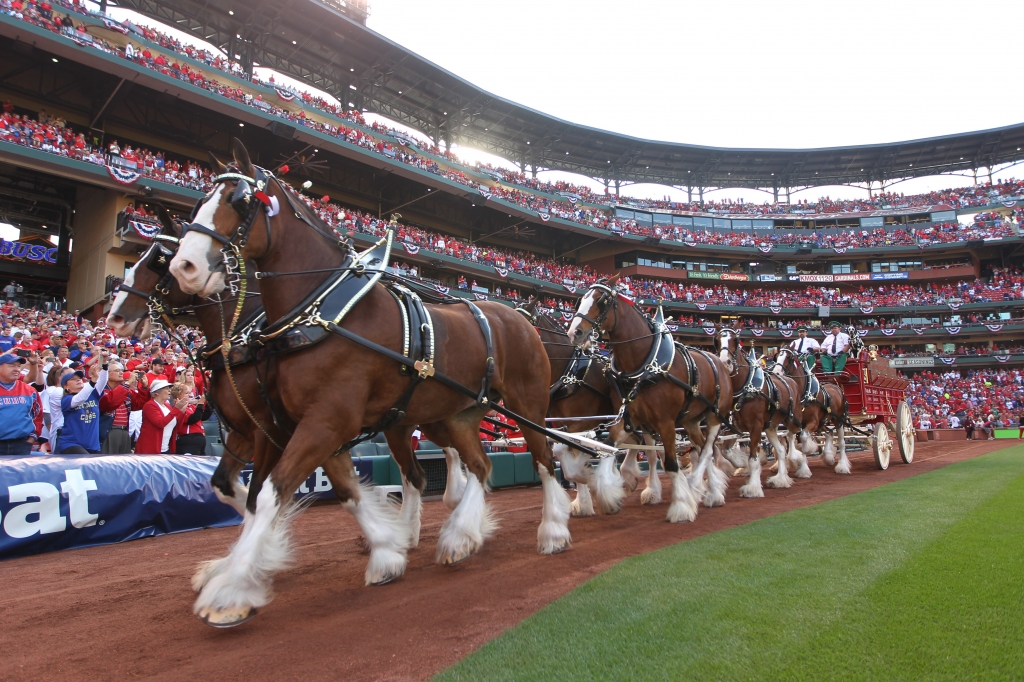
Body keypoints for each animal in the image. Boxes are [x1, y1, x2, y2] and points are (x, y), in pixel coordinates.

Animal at [171, 139, 565, 626]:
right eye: (197, 202)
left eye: (238, 201)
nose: (185, 266)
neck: (323, 313)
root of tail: (521, 316)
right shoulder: (300, 425)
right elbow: (331, 490)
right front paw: (387, 552)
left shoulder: (325, 421)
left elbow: (268, 495)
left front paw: (230, 591)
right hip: (456, 414)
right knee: (479, 465)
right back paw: (460, 536)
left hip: (528, 405)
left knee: (544, 460)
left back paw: (552, 531)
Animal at [569, 276, 729, 520]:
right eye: (581, 300)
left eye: (602, 301)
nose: (574, 332)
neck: (644, 365)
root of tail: (719, 362)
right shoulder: (629, 418)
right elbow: (608, 448)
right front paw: (609, 496)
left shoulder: (666, 422)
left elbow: (671, 463)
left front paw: (681, 506)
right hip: (690, 421)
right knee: (702, 448)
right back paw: (713, 492)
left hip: (714, 416)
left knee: (708, 449)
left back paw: (702, 489)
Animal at [716, 323, 802, 493]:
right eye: (716, 340)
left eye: (735, 340)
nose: (724, 363)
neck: (745, 387)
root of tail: (791, 381)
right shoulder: (734, 427)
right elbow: (727, 451)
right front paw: (741, 464)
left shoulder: (755, 427)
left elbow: (753, 459)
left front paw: (753, 487)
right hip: (770, 426)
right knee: (781, 450)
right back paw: (781, 479)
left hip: (792, 420)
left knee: (793, 437)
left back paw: (800, 464)